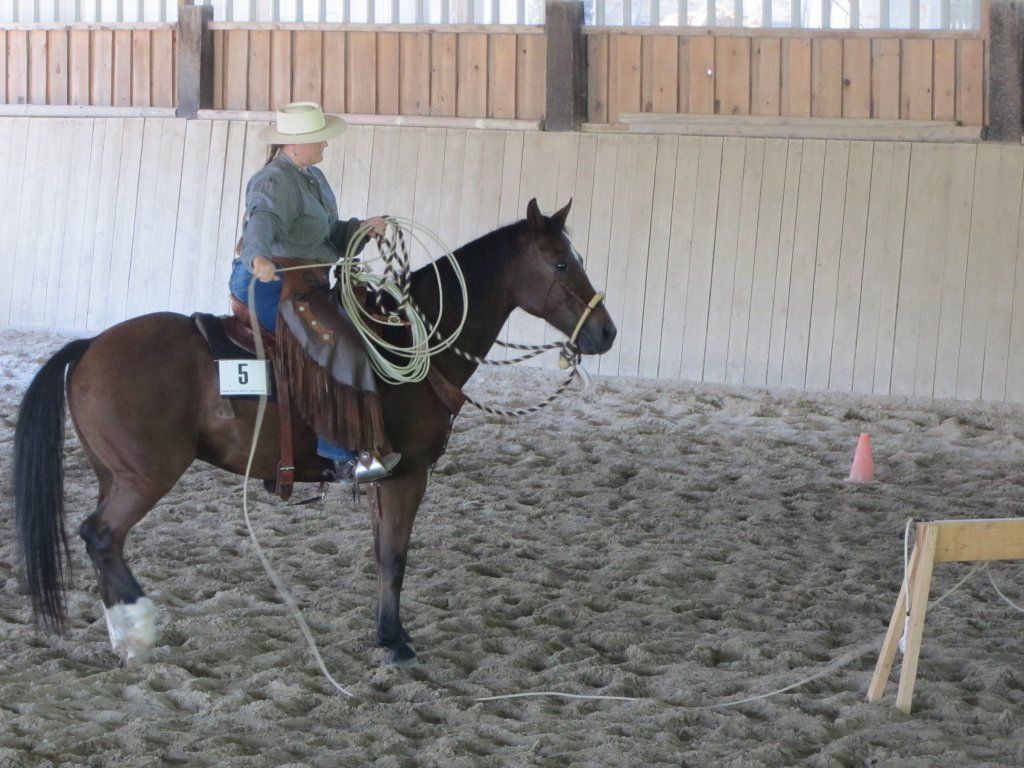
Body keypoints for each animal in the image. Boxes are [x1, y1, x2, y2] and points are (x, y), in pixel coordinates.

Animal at [13, 198, 617, 667]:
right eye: (561, 261)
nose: (607, 332)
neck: (409, 342)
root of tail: (88, 347)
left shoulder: (382, 478)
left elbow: (381, 553)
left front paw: (388, 633)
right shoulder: (409, 475)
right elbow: (395, 557)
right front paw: (395, 644)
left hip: (113, 474)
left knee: (102, 543)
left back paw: (123, 638)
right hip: (146, 476)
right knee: (101, 534)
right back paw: (139, 631)